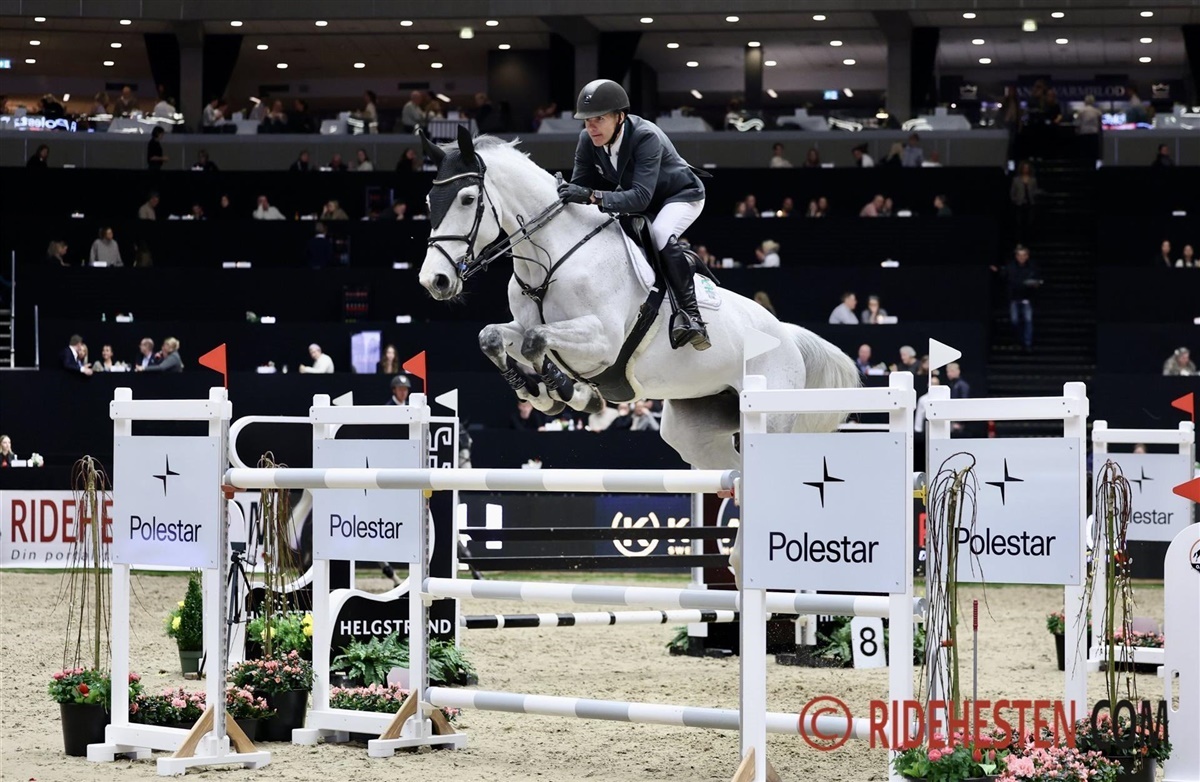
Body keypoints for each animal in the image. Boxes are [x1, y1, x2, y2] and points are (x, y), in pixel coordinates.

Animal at [417, 128, 860, 572]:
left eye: (467, 199)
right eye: (429, 201)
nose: (434, 281)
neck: (552, 257)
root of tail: (786, 335)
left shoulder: (604, 341)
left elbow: (537, 340)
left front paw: (569, 393)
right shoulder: (525, 327)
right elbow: (494, 337)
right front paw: (544, 393)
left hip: (768, 416)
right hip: (693, 432)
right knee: (736, 478)